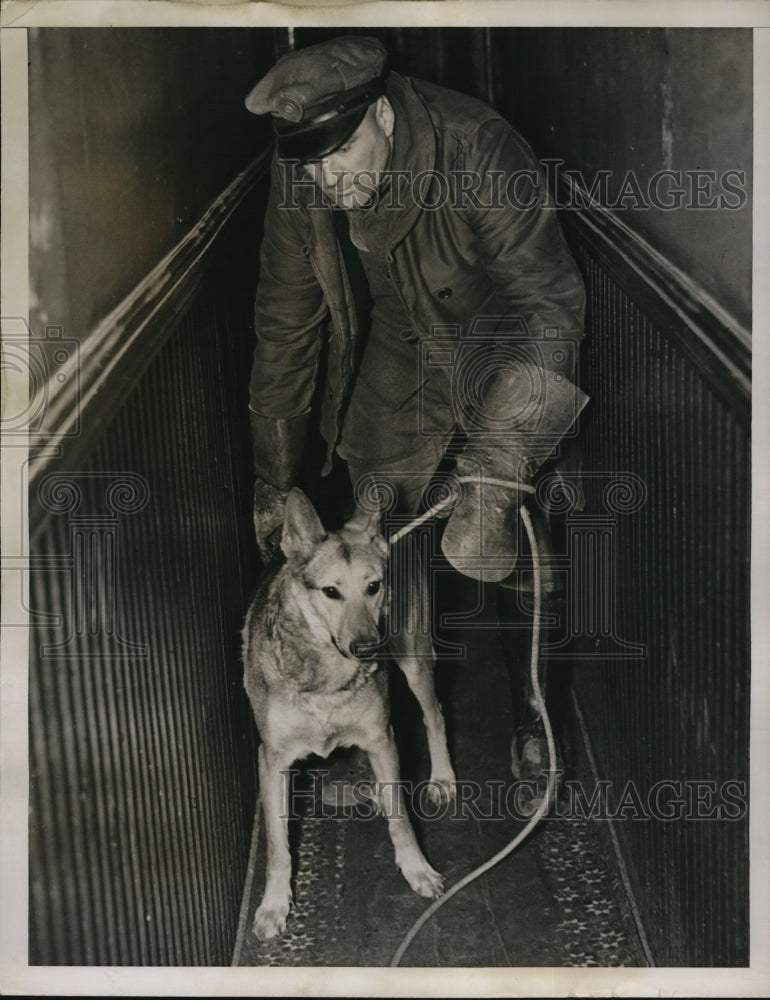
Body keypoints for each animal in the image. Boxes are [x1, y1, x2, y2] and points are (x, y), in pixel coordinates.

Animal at [243, 488, 452, 940]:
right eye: (330, 592)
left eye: (373, 586)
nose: (368, 648)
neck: (327, 679)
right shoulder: (272, 760)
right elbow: (278, 845)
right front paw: (274, 905)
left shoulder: (382, 738)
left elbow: (401, 819)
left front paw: (416, 868)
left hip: (414, 661)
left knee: (435, 715)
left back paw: (443, 777)